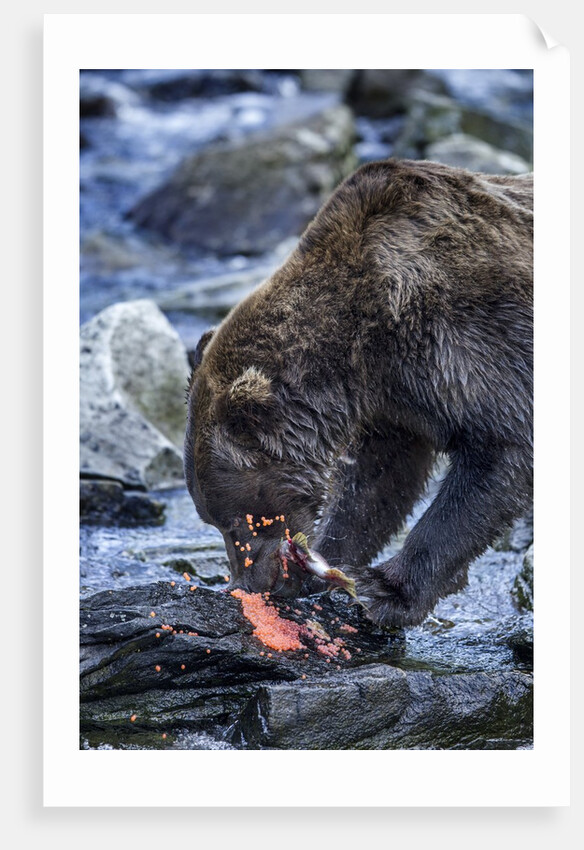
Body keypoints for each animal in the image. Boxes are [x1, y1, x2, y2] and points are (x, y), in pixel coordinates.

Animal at [184, 158, 533, 628]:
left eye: (241, 522)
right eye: (211, 521)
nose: (248, 583)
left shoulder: (472, 342)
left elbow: (499, 452)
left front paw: (384, 590)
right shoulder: (397, 402)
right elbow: (376, 484)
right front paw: (328, 565)